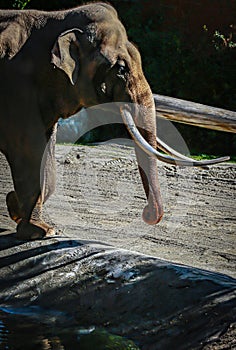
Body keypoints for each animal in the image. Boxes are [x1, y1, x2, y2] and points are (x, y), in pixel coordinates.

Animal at [0, 2, 229, 241]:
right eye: (120, 68)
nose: (145, 213)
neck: (58, 18)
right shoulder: (16, 90)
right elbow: (29, 151)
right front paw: (39, 231)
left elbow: (46, 154)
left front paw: (16, 208)